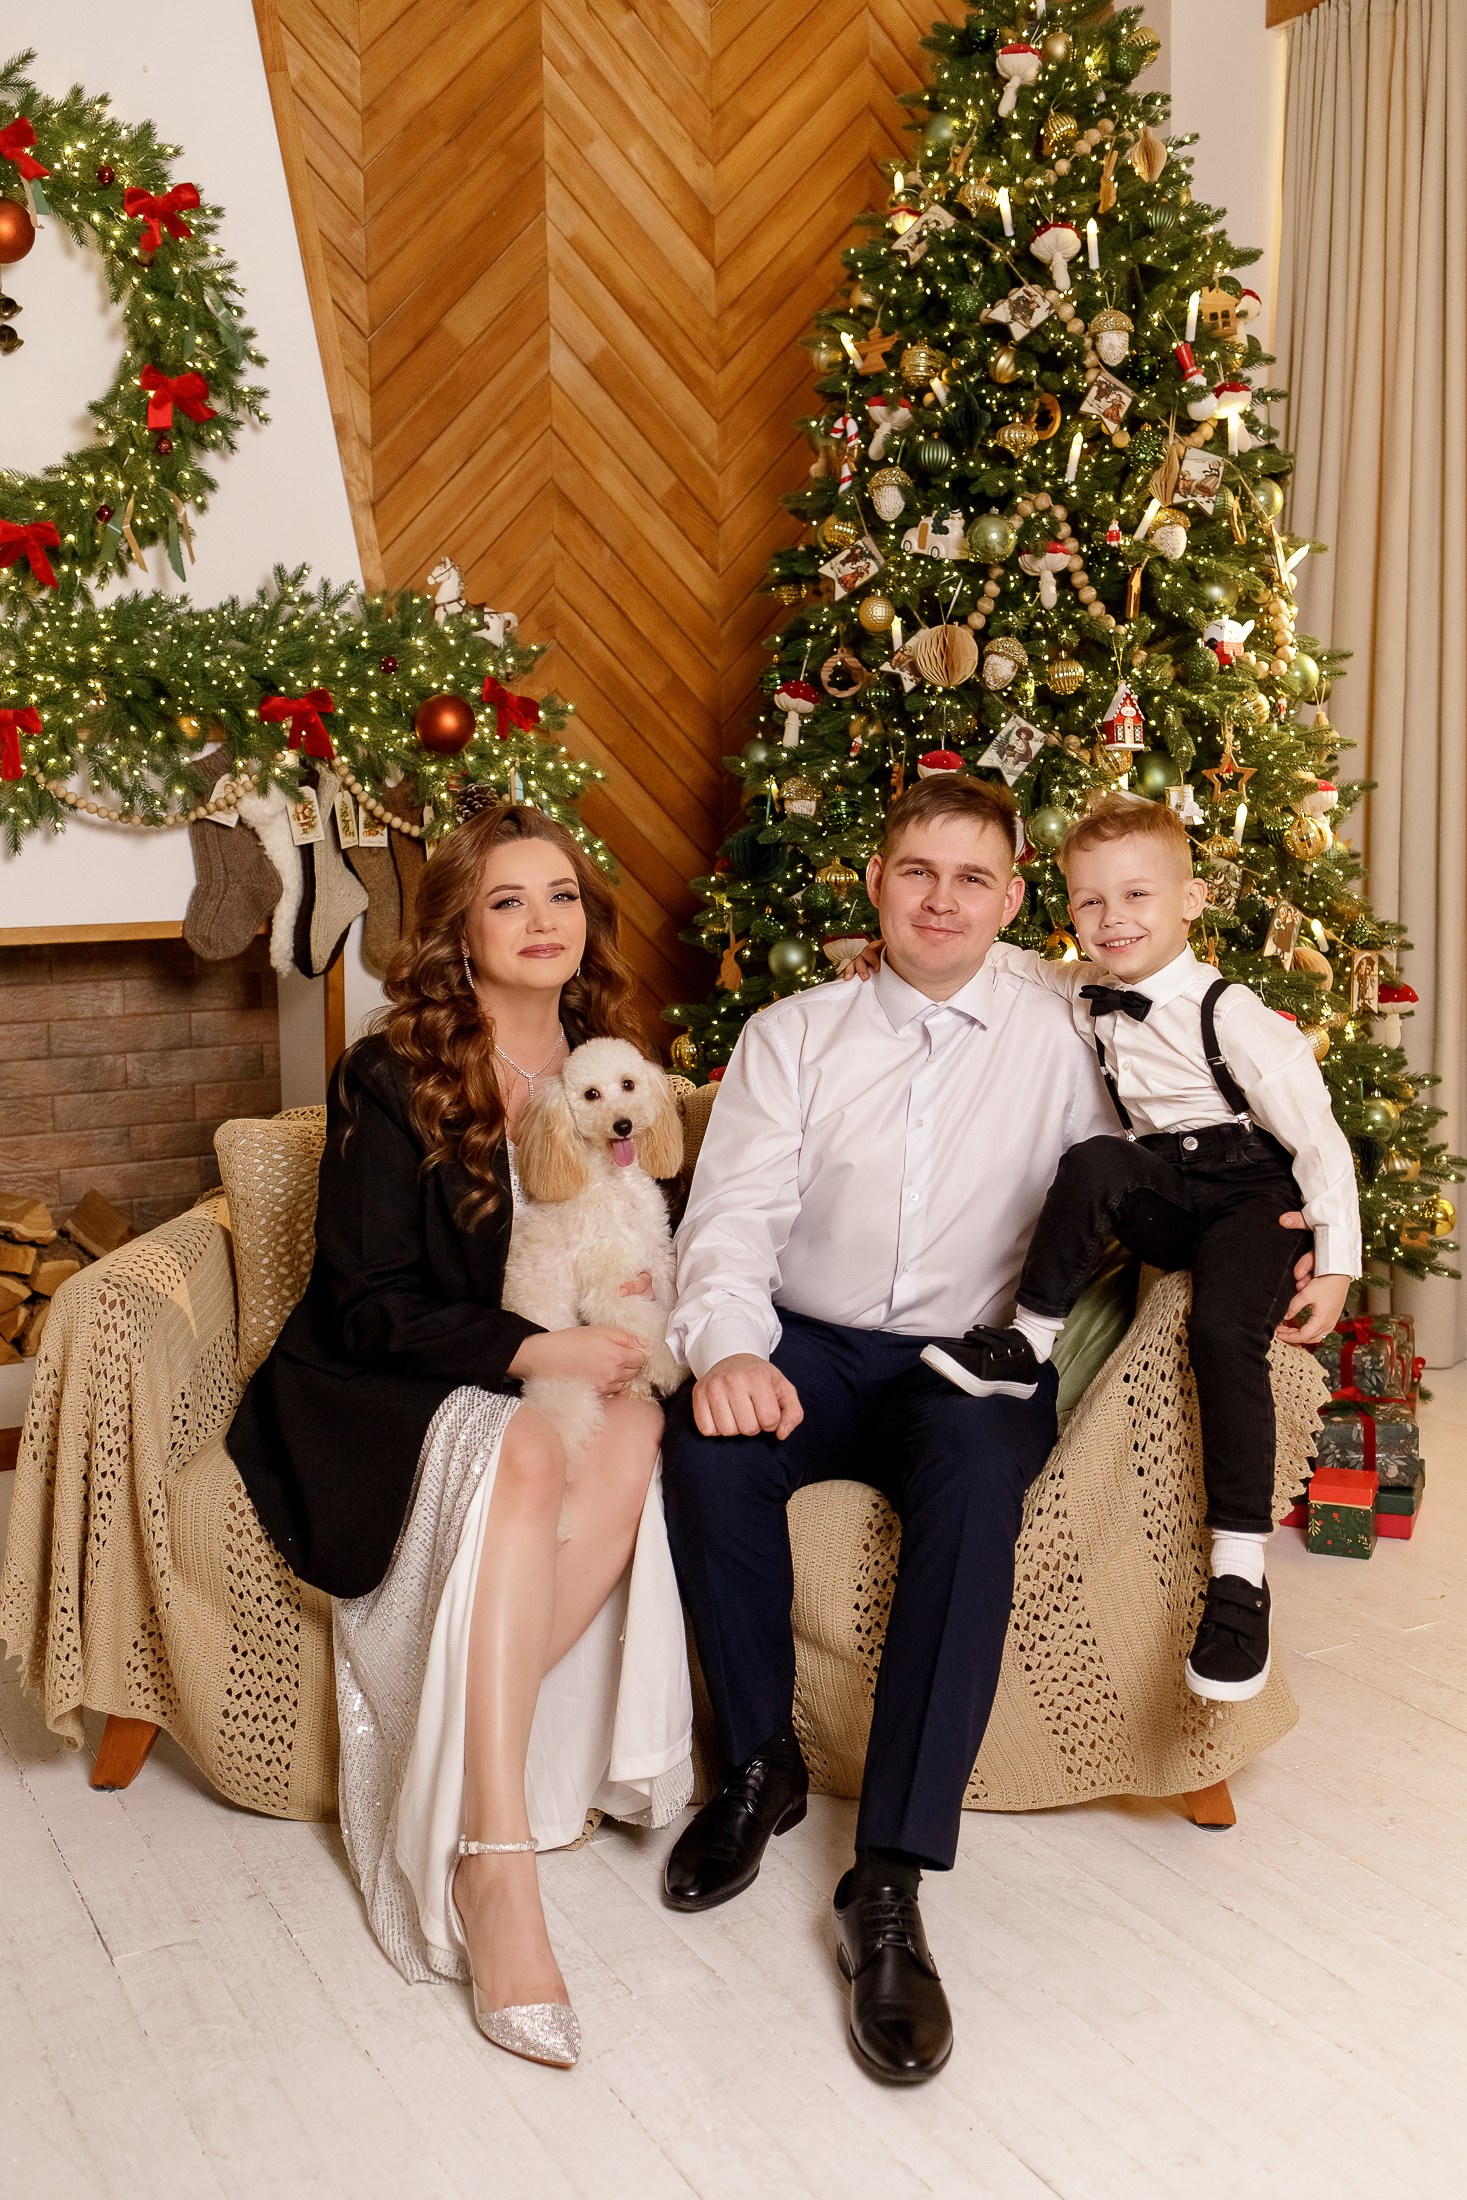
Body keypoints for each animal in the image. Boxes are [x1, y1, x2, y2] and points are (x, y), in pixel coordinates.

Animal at [501, 1037, 686, 1459]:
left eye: (629, 1084)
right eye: (591, 1094)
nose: (623, 1125)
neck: (616, 1185)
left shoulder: (657, 1261)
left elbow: (669, 1306)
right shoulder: (611, 1289)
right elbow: (651, 1328)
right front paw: (672, 1367)